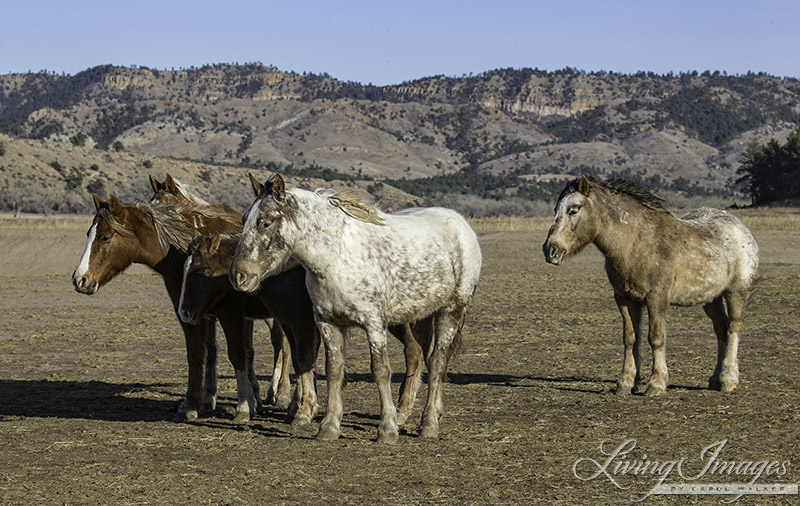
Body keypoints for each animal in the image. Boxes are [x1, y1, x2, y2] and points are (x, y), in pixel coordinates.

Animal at [231, 175, 482, 442]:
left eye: (265, 222)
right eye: (244, 219)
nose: (238, 276)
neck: (336, 257)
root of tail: (461, 224)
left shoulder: (373, 323)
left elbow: (380, 370)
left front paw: (387, 430)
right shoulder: (327, 322)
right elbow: (333, 370)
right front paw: (329, 426)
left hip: (451, 311)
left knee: (437, 362)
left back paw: (429, 424)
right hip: (419, 317)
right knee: (420, 355)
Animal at [540, 177, 760, 396]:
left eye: (573, 210)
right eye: (556, 209)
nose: (551, 250)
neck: (636, 243)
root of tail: (743, 230)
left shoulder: (657, 298)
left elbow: (656, 337)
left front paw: (657, 383)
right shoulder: (625, 298)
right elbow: (630, 338)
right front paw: (626, 382)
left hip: (736, 292)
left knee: (734, 328)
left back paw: (728, 379)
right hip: (711, 299)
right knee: (721, 330)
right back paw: (715, 378)